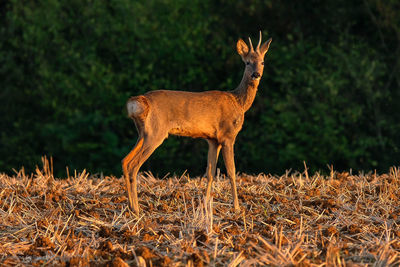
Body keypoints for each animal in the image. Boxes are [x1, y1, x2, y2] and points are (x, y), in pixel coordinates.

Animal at [122, 31, 272, 216]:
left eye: (262, 62)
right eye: (247, 62)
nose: (256, 74)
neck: (238, 102)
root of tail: (139, 102)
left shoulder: (213, 140)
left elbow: (210, 172)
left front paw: (206, 204)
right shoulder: (228, 135)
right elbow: (231, 172)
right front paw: (237, 208)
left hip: (143, 132)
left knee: (125, 161)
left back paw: (131, 207)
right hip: (155, 133)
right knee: (134, 165)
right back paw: (136, 209)